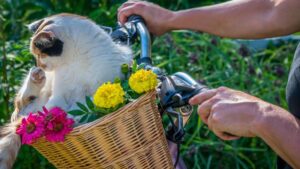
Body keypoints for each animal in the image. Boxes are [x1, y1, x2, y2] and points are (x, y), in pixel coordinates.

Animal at [0, 13, 132, 169]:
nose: (39, 65)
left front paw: (65, 120)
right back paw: (36, 79)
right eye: (36, 56)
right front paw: (46, 121)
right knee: (22, 102)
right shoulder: (58, 94)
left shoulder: (95, 93)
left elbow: (81, 107)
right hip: (41, 92)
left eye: (41, 55)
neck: (73, 62)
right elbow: (50, 108)